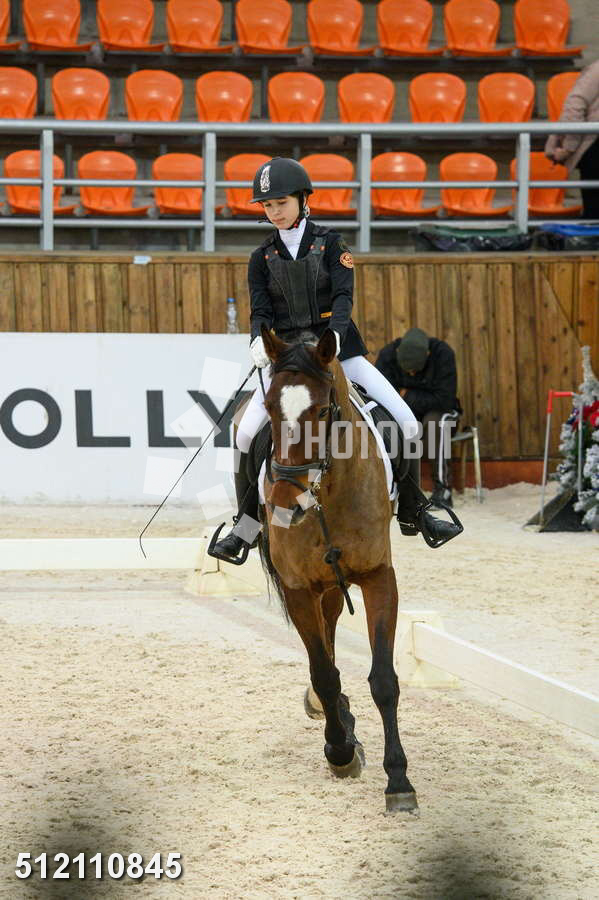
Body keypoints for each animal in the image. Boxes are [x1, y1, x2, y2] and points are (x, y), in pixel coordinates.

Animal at [256, 324, 418, 815]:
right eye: (269, 407)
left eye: (323, 410)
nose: (285, 504)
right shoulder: (297, 588)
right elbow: (324, 674)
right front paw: (340, 751)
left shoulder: (379, 577)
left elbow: (383, 680)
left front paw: (398, 780)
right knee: (323, 655)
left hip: (333, 583)